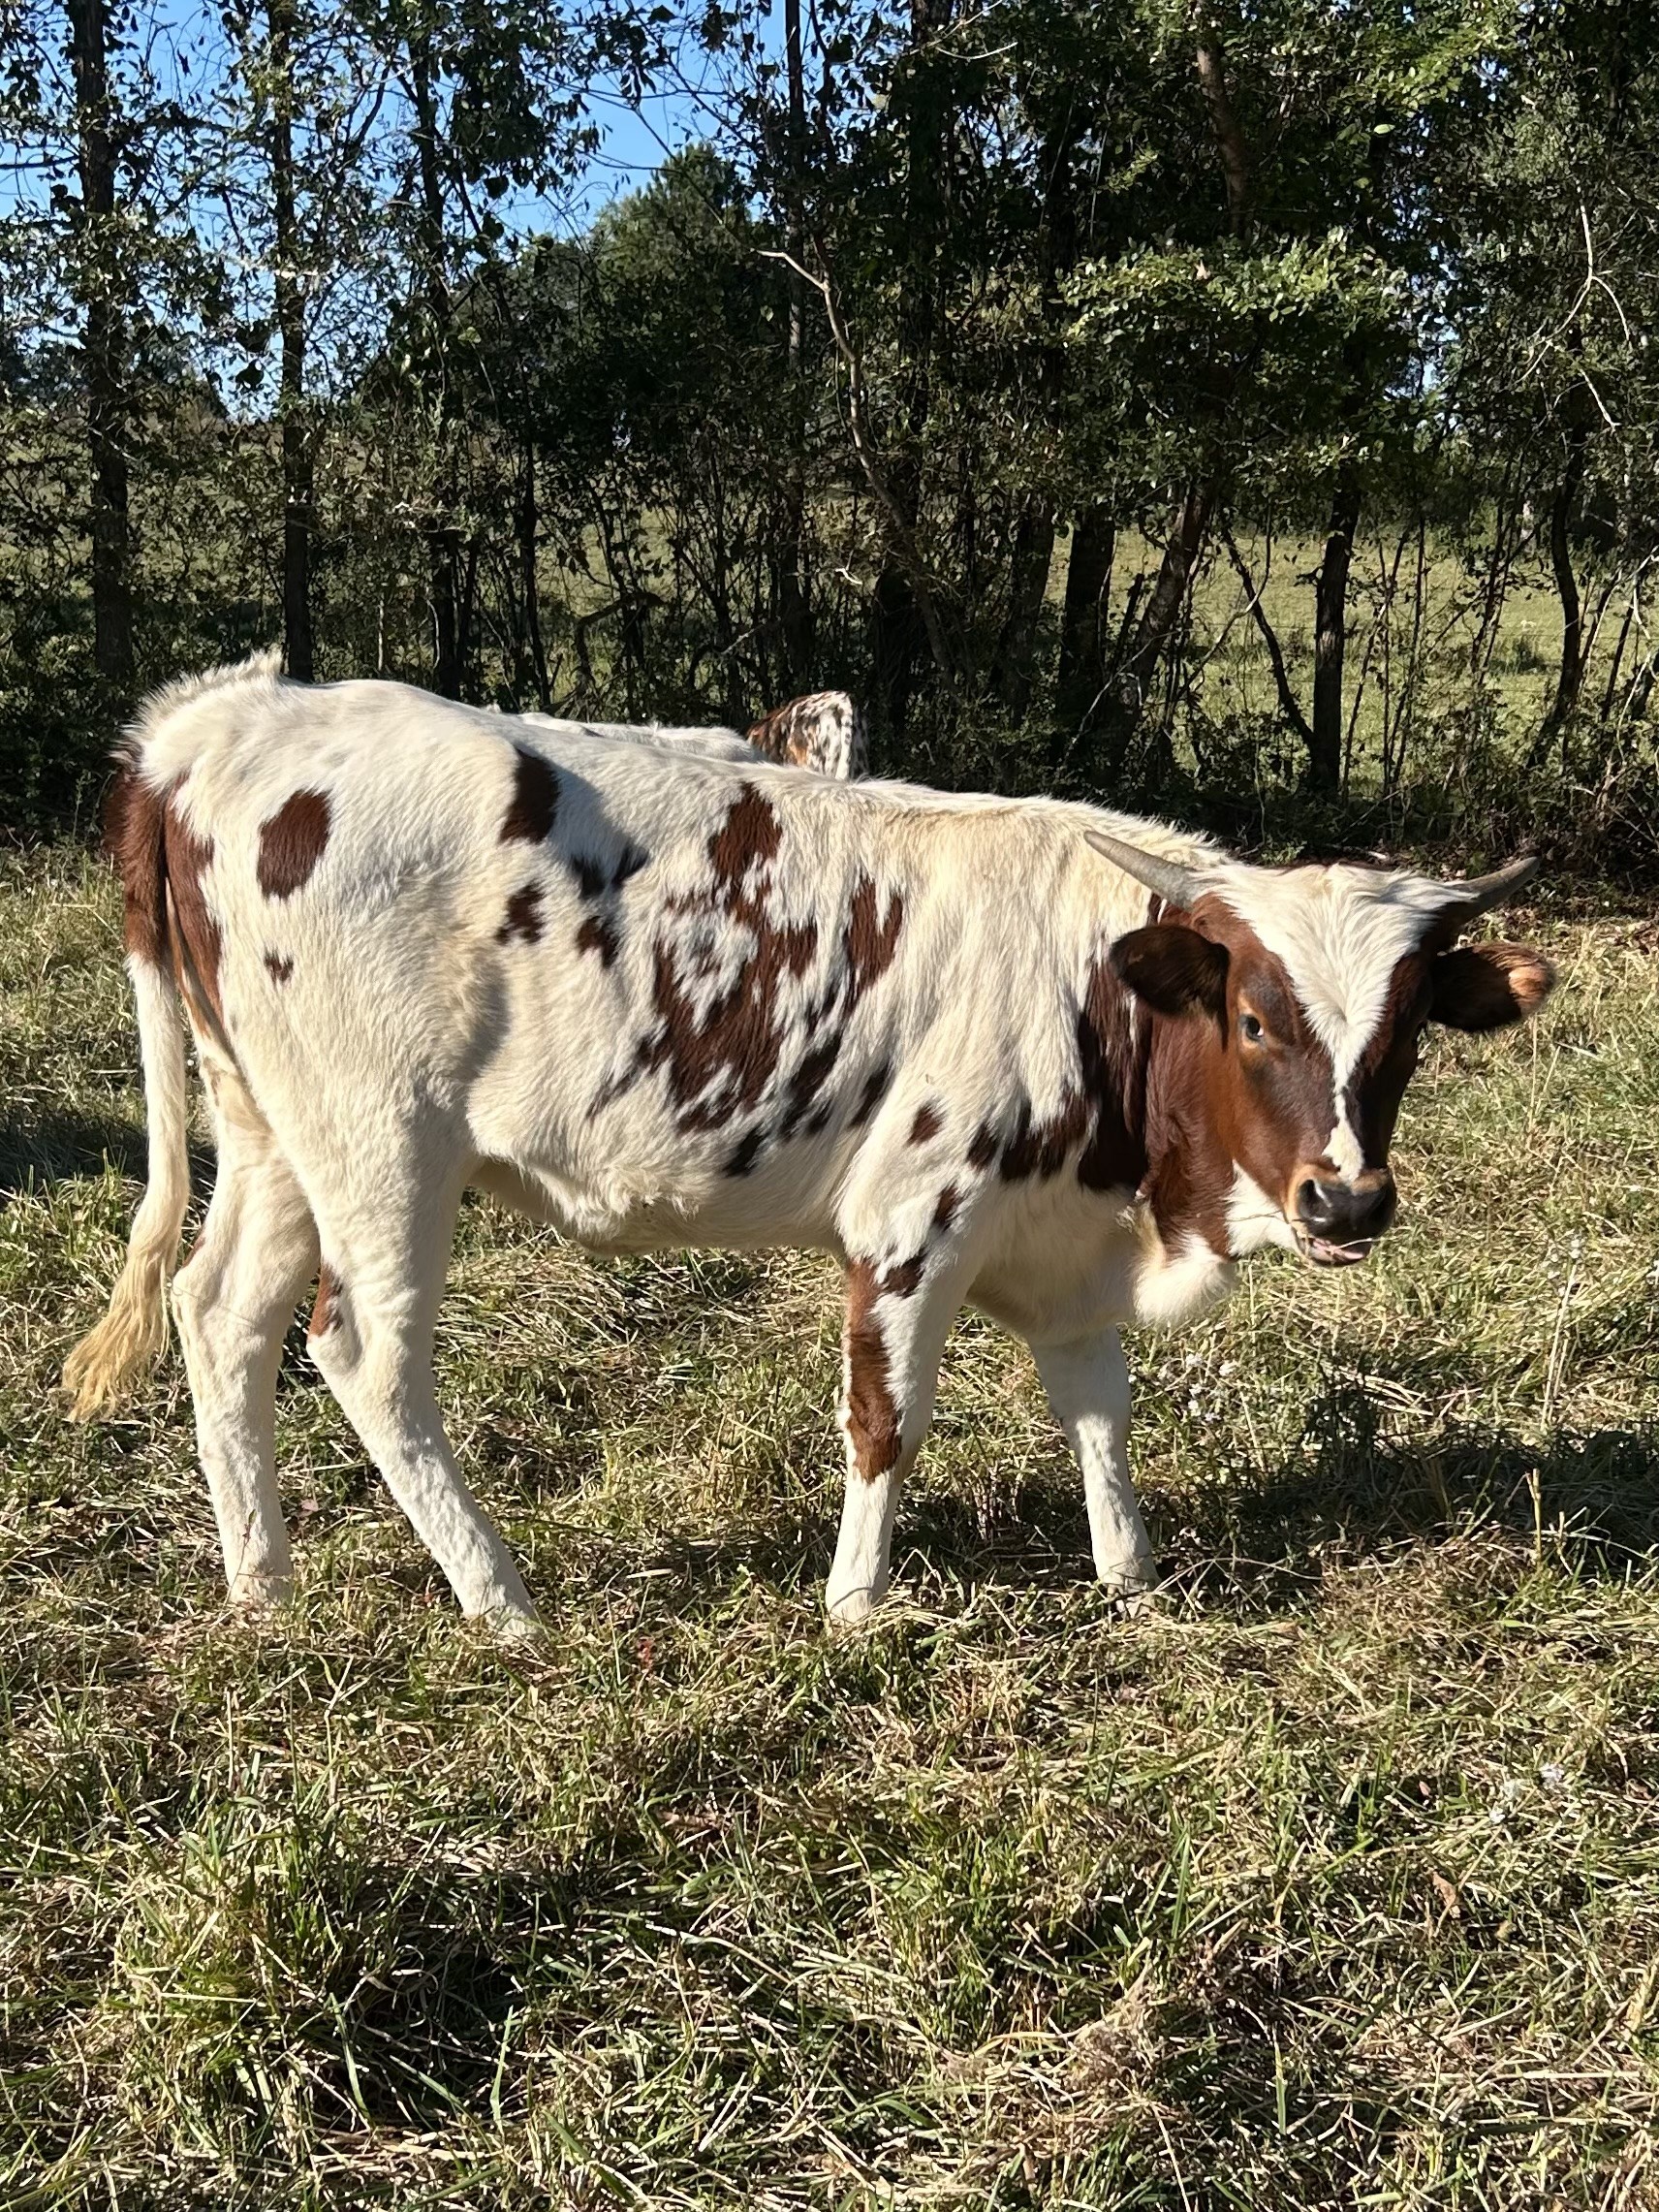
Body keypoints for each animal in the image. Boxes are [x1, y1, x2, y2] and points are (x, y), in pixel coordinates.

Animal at [63, 655, 1553, 1632]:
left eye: (1409, 1033)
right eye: (1252, 1014)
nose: (1345, 1200)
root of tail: (216, 720)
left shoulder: (1063, 1235)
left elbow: (1096, 1400)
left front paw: (1128, 1571)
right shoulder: (910, 1221)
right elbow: (886, 1418)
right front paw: (854, 1599)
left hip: (271, 1130)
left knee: (222, 1312)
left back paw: (263, 1584)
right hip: (382, 1145)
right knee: (365, 1354)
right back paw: (504, 1601)